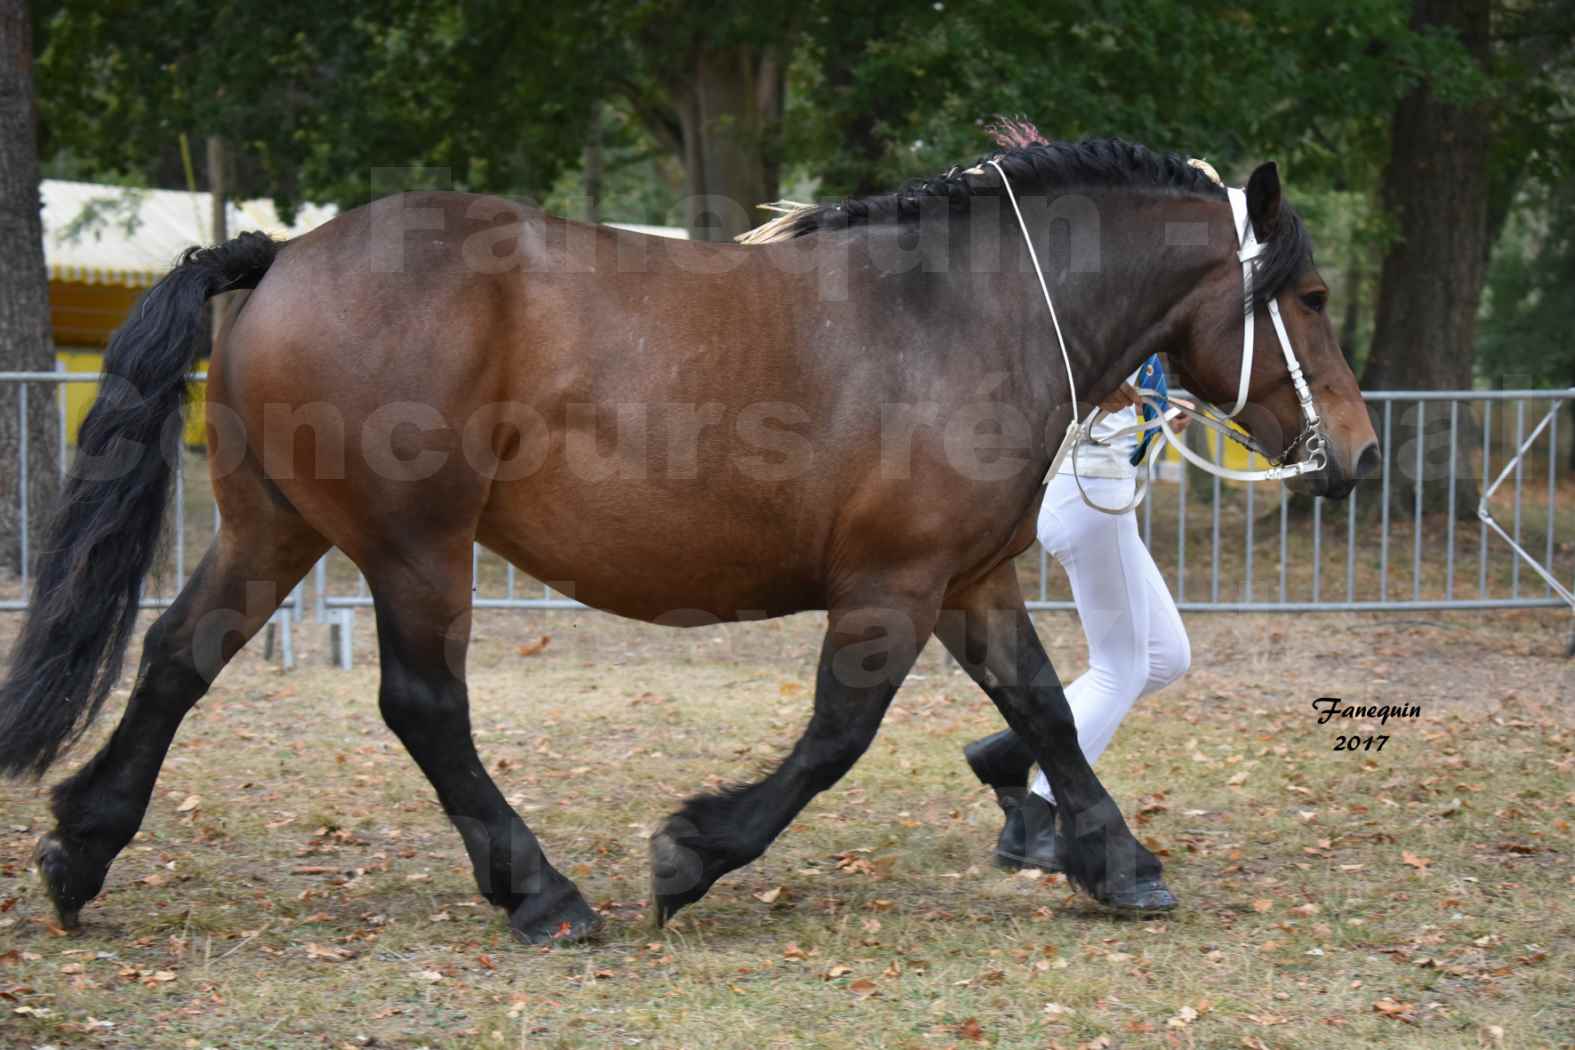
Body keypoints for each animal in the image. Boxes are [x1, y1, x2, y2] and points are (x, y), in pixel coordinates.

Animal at [0, 137, 1373, 944]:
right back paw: (544, 897)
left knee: (177, 659)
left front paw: (1114, 861)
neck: (963, 315)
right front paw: (689, 855)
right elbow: (833, 740)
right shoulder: (890, 589)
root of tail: (280, 256)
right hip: (415, 549)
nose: (1355, 455)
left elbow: (1038, 709)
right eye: (1309, 298)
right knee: (422, 707)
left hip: (275, 532)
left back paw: (80, 850)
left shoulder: (969, 580)